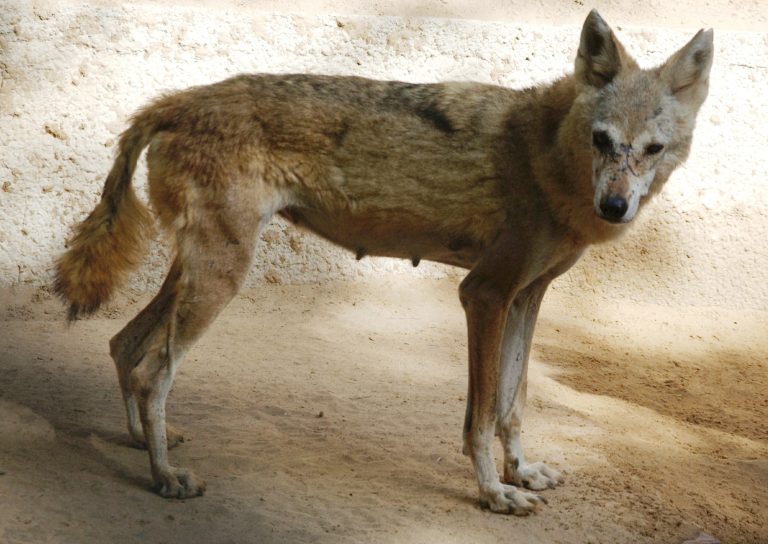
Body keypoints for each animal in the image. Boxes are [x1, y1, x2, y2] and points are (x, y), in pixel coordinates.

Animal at [53, 10, 713, 514]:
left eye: (652, 149)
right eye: (603, 140)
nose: (615, 207)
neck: (545, 152)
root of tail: (173, 100)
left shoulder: (526, 298)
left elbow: (514, 405)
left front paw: (521, 472)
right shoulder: (484, 295)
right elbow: (480, 418)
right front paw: (494, 493)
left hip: (199, 273)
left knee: (122, 344)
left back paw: (142, 444)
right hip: (220, 279)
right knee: (150, 372)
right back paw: (166, 479)